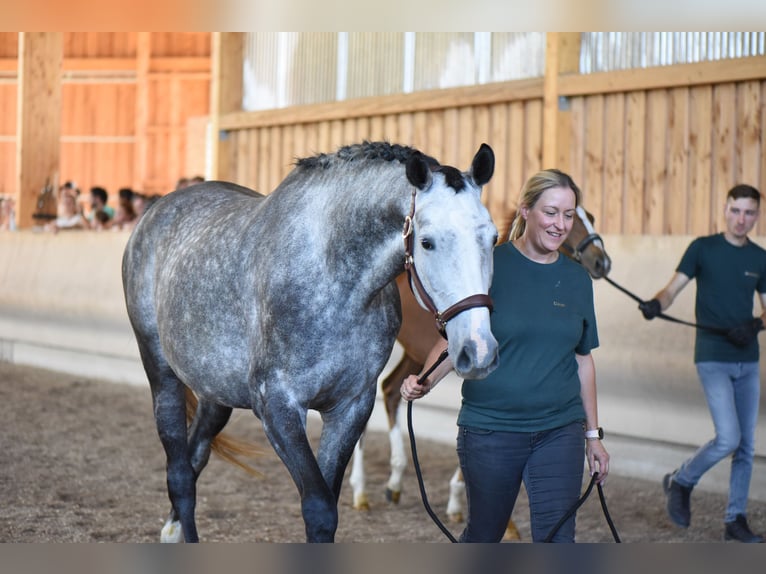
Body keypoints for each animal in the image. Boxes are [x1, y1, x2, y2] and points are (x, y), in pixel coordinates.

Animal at [123, 141, 500, 544]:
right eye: (427, 242)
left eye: (493, 237)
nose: (479, 350)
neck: (331, 277)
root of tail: (157, 210)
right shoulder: (278, 407)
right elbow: (319, 508)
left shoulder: (350, 407)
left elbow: (329, 502)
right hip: (162, 375)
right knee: (179, 473)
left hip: (215, 393)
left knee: (195, 458)